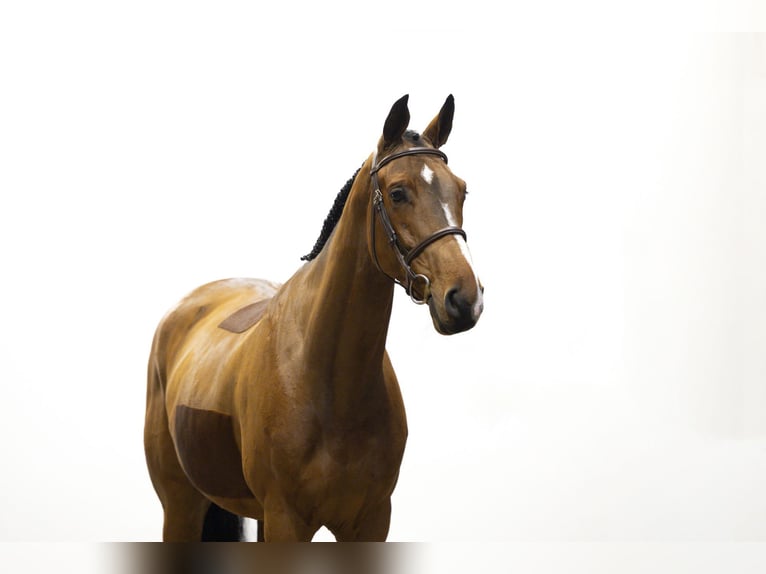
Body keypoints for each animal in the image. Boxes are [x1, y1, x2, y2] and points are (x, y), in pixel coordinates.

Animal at [144, 94, 484, 542]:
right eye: (397, 193)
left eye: (462, 190)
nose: (465, 298)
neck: (328, 382)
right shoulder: (285, 520)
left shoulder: (372, 520)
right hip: (181, 505)